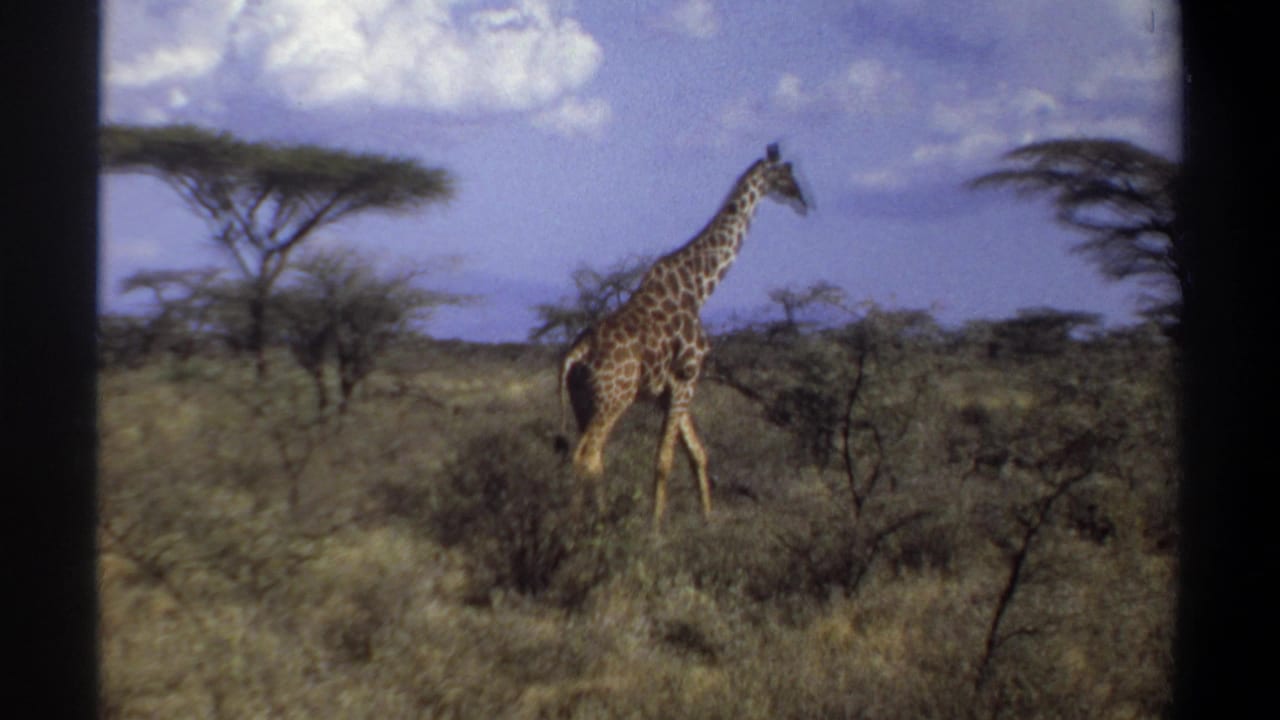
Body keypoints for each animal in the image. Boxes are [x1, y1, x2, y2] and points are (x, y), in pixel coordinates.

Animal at [557, 143, 808, 529]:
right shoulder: (686, 378)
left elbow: (698, 454)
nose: (804, 201)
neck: (697, 289)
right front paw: (656, 528)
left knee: (592, 456)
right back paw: (576, 528)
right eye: (786, 173)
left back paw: (597, 520)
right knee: (585, 455)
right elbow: (665, 460)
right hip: (613, 400)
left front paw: (708, 520)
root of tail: (577, 352)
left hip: (583, 401)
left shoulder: (673, 389)